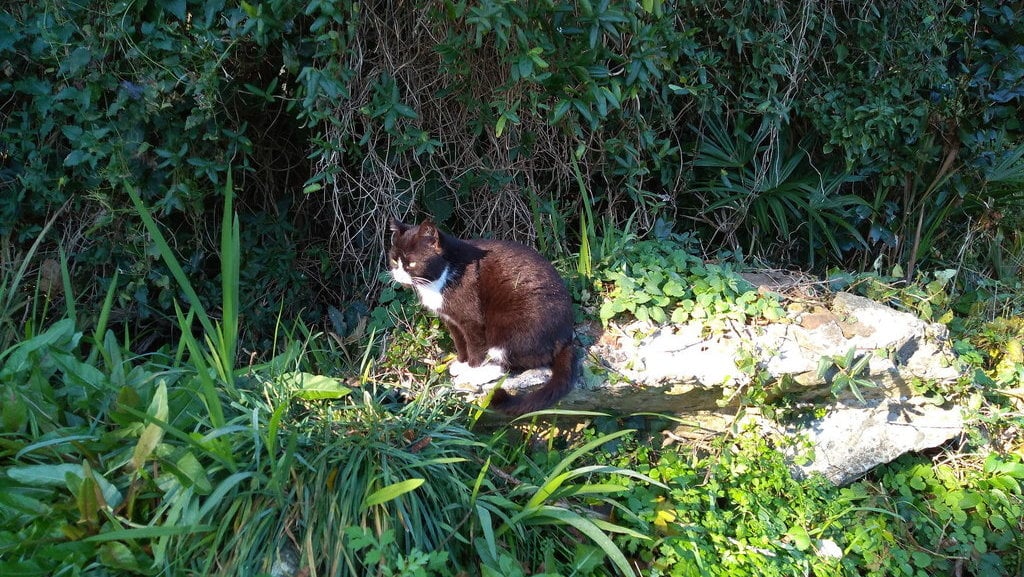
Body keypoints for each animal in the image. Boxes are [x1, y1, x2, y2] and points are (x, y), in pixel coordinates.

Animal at [387, 218, 577, 416]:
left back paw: (478, 377)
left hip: (511, 326)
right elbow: (460, 342)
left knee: (506, 363)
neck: (444, 273)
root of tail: (566, 338)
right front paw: (461, 363)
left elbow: (475, 348)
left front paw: (471, 370)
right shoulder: (451, 320)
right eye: (394, 260)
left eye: (412, 264)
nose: (398, 274)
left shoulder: (472, 320)